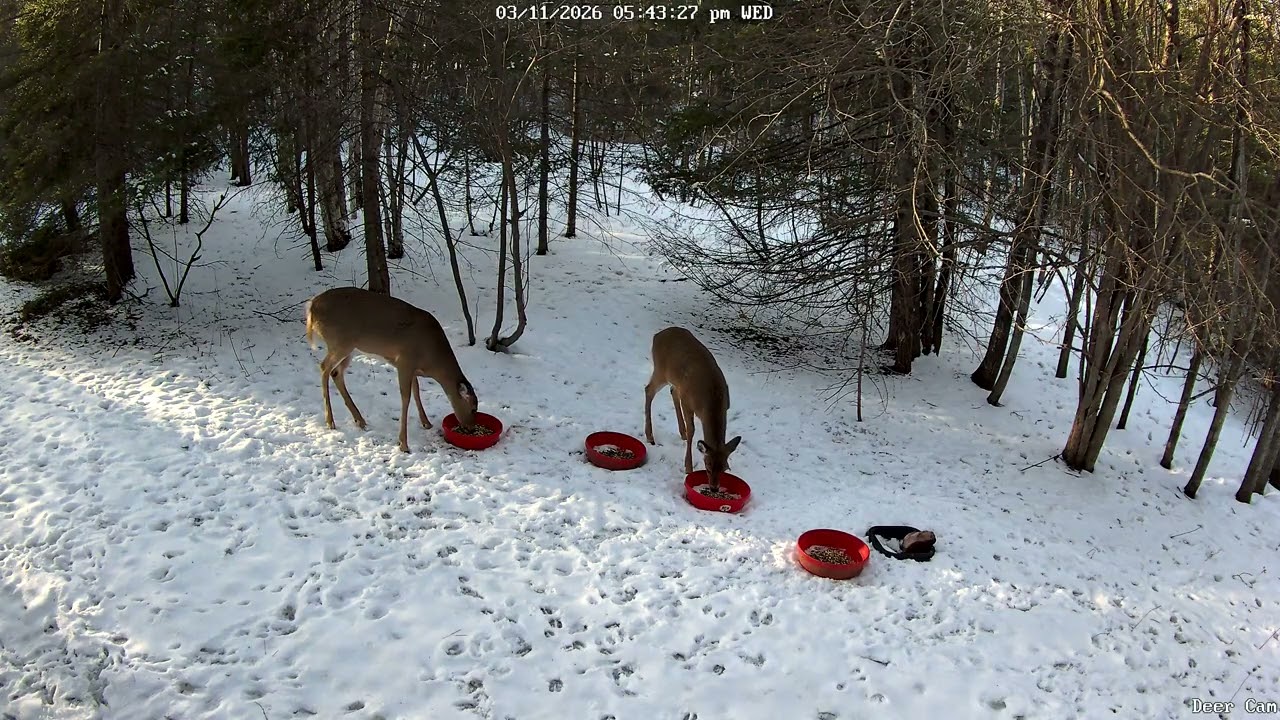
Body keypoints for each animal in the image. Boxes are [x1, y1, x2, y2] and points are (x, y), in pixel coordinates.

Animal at [304, 287, 478, 453]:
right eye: (473, 409)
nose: (471, 428)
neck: (432, 358)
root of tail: (311, 307)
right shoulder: (404, 361)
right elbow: (406, 398)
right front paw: (403, 444)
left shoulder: (410, 367)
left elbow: (416, 390)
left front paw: (426, 423)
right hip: (339, 342)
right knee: (324, 367)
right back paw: (330, 421)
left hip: (349, 348)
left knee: (336, 373)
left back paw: (359, 420)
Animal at [644, 326, 742, 490]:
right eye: (707, 465)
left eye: (725, 468)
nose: (714, 488)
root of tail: (657, 335)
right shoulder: (688, 403)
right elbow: (692, 430)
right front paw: (688, 467)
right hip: (661, 370)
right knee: (649, 390)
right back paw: (650, 436)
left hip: (675, 380)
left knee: (672, 391)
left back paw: (680, 433)